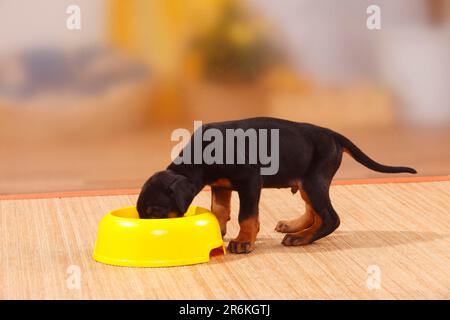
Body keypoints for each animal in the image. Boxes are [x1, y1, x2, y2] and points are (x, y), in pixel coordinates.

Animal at [135, 116, 416, 254]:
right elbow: (220, 210)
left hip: (314, 180)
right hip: (306, 181)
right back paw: (294, 226)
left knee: (330, 217)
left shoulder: (250, 180)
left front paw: (243, 242)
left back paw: (301, 238)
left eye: (155, 212)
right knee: (314, 212)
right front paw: (219, 230)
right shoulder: (221, 185)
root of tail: (334, 135)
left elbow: (246, 216)